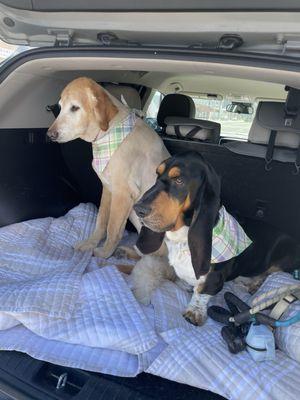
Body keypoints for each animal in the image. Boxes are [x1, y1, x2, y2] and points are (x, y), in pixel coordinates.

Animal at [47, 78, 169, 260]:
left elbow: (113, 228)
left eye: (75, 108)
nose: (50, 135)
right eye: (60, 107)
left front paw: (104, 253)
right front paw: (90, 244)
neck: (109, 133)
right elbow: (101, 221)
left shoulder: (122, 193)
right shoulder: (108, 189)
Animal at [132, 151, 298, 324]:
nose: (138, 209)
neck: (183, 238)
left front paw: (194, 312)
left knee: (273, 273)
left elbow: (201, 293)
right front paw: (184, 284)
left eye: (179, 180)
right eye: (157, 175)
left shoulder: (213, 279)